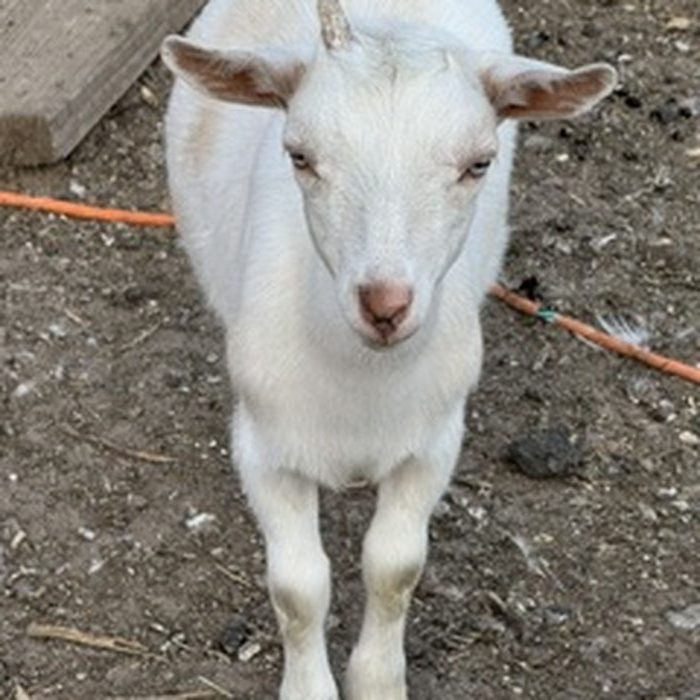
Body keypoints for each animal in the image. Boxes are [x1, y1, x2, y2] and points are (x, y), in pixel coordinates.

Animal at [162, 0, 616, 697]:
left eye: (478, 163)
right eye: (300, 155)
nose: (385, 304)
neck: (361, 382)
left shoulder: (434, 441)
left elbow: (394, 567)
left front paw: (376, 680)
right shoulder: (263, 444)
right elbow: (298, 587)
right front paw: (310, 688)